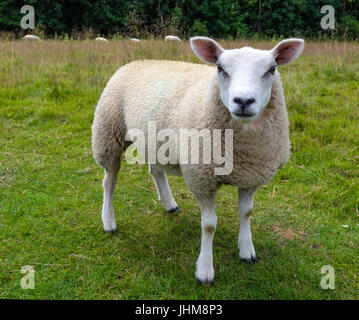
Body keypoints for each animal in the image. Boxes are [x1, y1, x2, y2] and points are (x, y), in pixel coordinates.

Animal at [91, 36, 306, 284]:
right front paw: (204, 269)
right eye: (220, 69)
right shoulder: (202, 179)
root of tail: (137, 61)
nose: (243, 101)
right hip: (109, 133)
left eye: (271, 70)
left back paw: (169, 204)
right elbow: (209, 226)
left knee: (156, 171)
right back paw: (108, 221)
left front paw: (246, 250)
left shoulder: (251, 177)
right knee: (109, 182)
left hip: (155, 141)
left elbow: (247, 213)